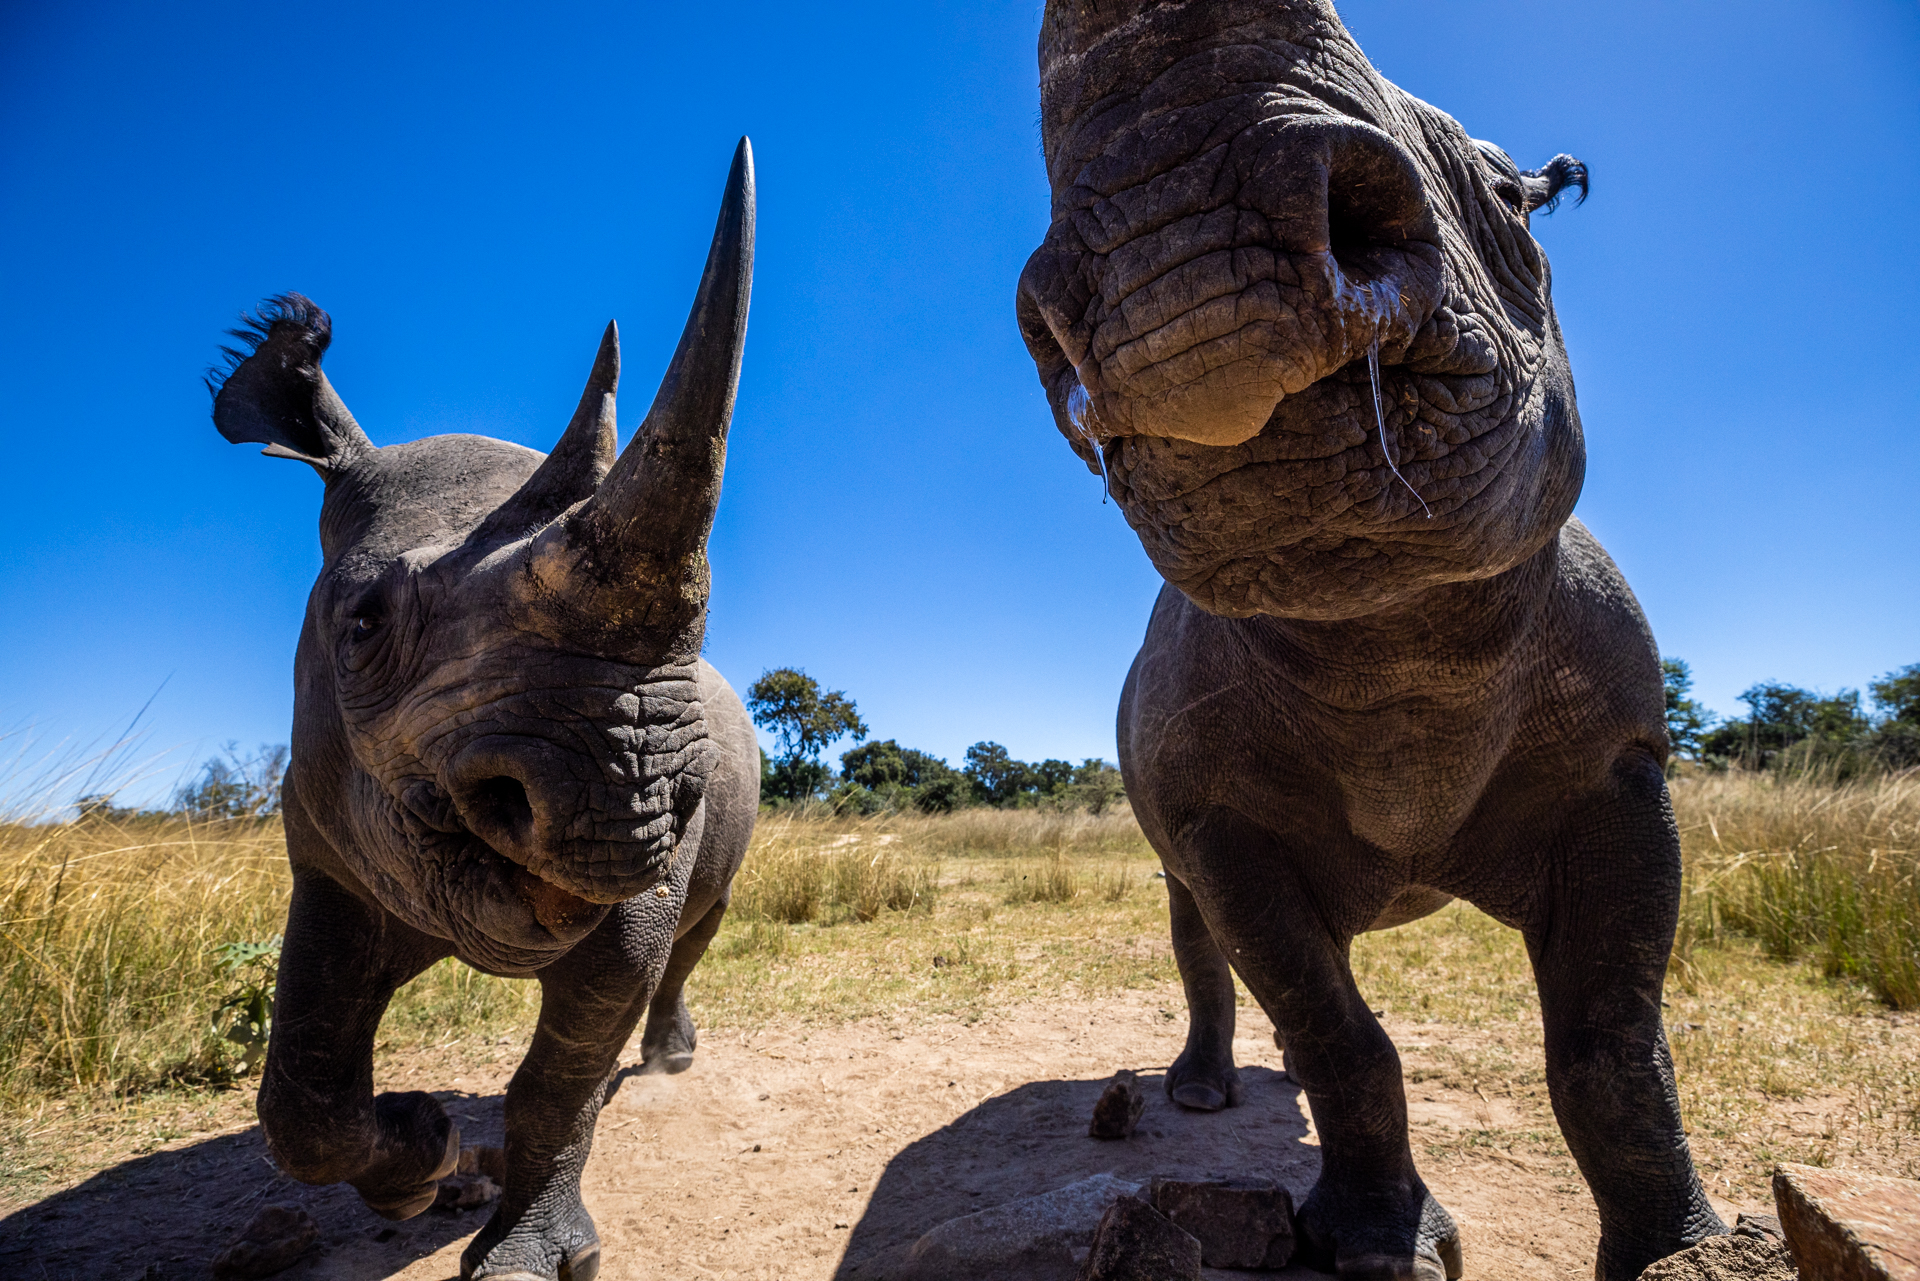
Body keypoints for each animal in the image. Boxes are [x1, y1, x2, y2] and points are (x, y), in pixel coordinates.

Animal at [209, 142, 760, 1281]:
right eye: (363, 623)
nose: (623, 792)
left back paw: (664, 1063)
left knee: (701, 926)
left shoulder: (641, 880)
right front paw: (421, 1158)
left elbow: (563, 1070)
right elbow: (302, 1081)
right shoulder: (327, 853)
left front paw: (524, 1254)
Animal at [1017, 5, 1721, 1278]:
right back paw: (1199, 1096)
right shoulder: (1217, 814)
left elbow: (1613, 1045)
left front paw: (1682, 1254)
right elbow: (1329, 1023)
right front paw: (1375, 1248)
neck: (1390, 632)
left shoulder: (1618, 761)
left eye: (1510, 197)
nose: (1176, 272)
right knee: (1202, 925)